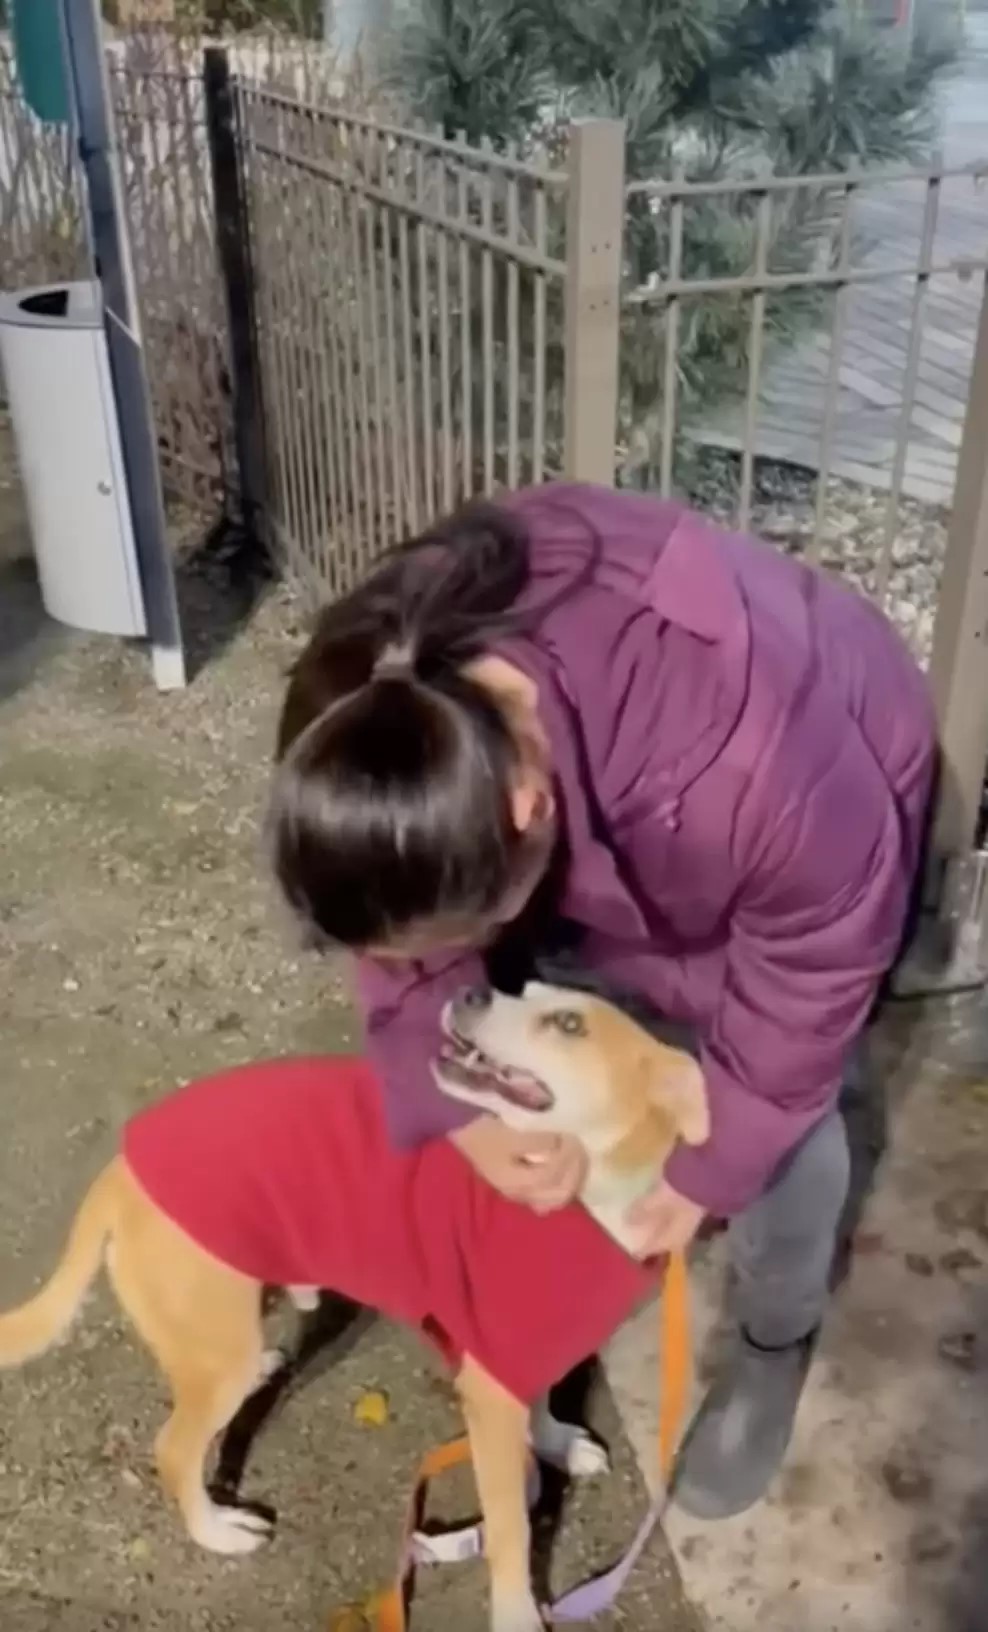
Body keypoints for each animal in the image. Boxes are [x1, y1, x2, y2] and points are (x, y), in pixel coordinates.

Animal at [0, 979, 705, 1632]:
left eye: (568, 1022)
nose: (471, 990)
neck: (587, 1196)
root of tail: (123, 1167)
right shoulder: (490, 1390)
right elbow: (511, 1535)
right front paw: (517, 1616)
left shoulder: (521, 1350)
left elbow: (541, 1407)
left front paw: (557, 1442)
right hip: (214, 1347)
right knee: (176, 1449)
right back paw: (218, 1531)